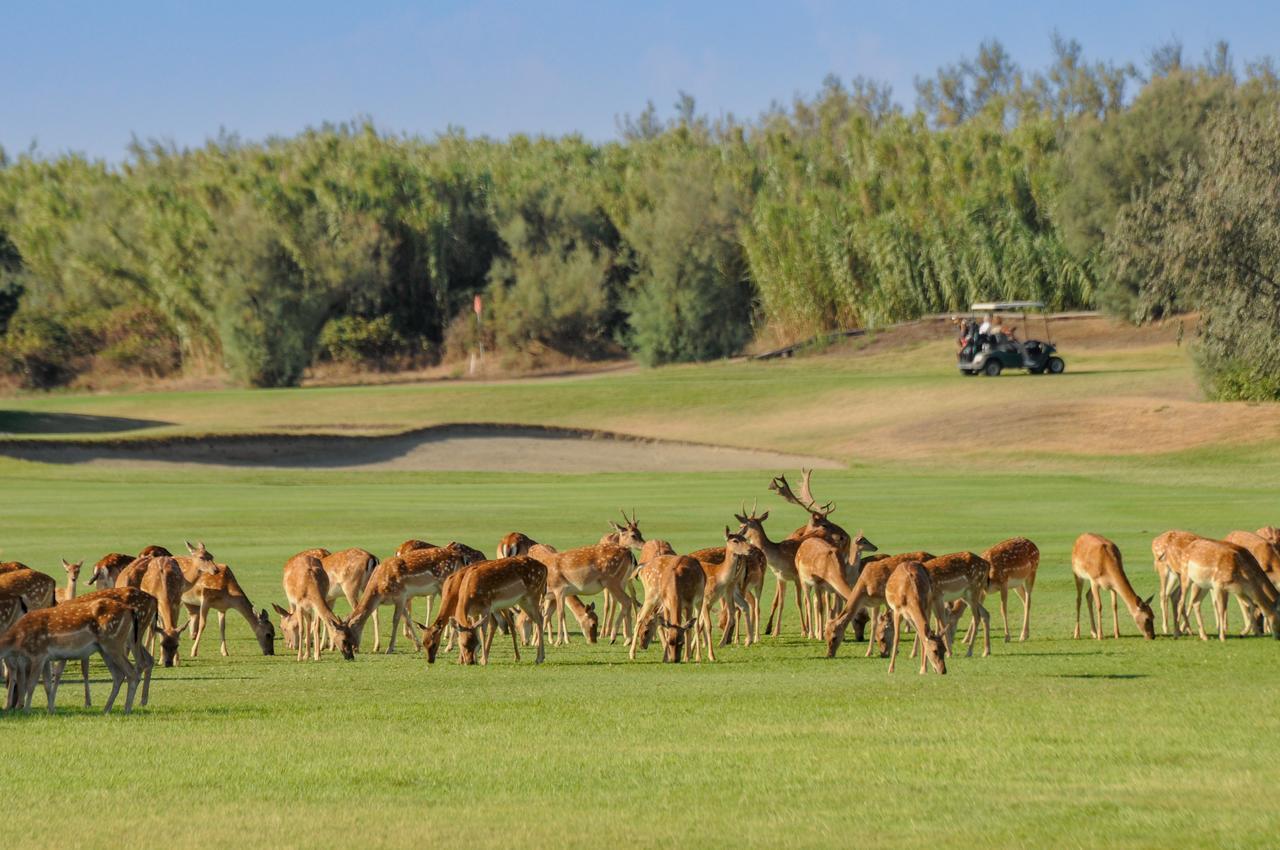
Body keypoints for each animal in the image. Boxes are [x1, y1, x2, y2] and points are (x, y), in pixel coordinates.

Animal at [0, 596, 140, 716]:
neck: (17, 640)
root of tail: (131, 610)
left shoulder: (38, 653)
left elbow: (31, 683)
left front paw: (27, 710)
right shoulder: (46, 658)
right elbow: (47, 684)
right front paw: (51, 710)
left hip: (114, 643)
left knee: (132, 672)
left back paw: (126, 710)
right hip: (104, 649)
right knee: (118, 675)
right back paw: (106, 710)